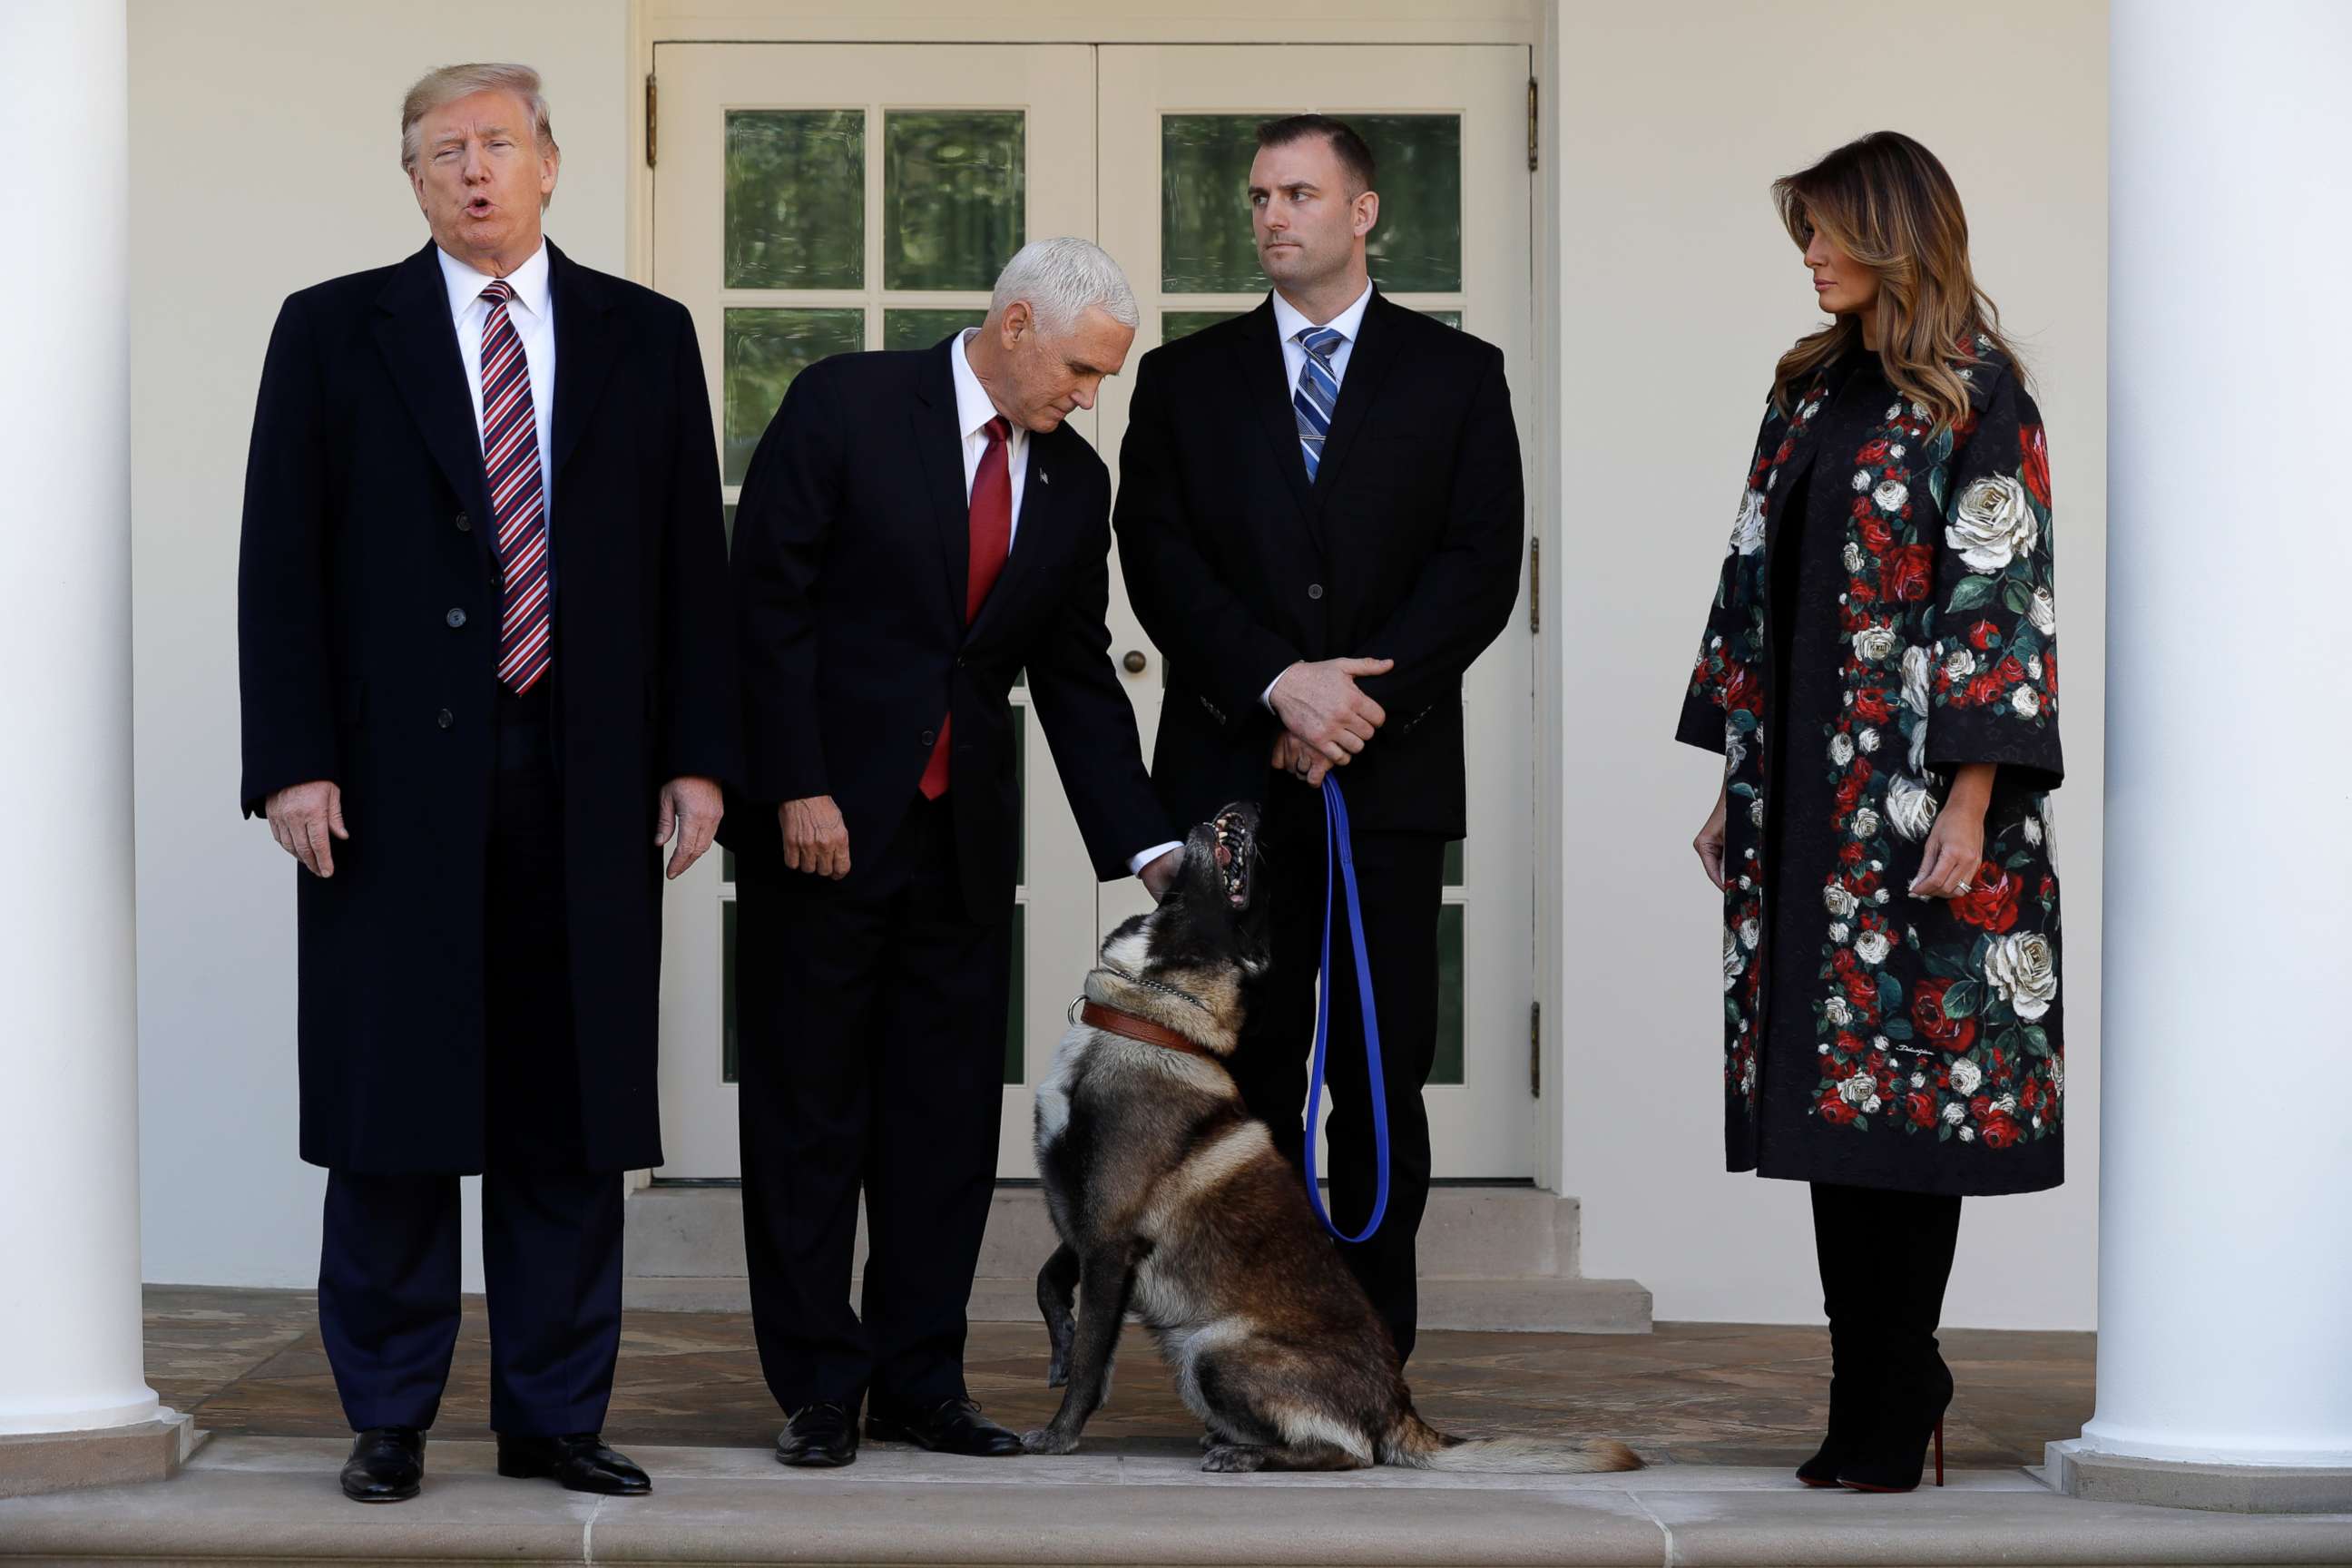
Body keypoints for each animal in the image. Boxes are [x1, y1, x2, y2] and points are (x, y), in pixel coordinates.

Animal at [1020, 804, 1646, 1475]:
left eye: (1256, 898)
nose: (1249, 809)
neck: (1146, 1018)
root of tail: (1400, 1407)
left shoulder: (1110, 1239)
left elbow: (1093, 1361)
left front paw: (1059, 1433)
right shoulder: (1086, 1225)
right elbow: (1051, 1284)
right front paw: (1058, 1342)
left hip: (1211, 1348)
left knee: (1349, 1452)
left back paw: (1244, 1453)